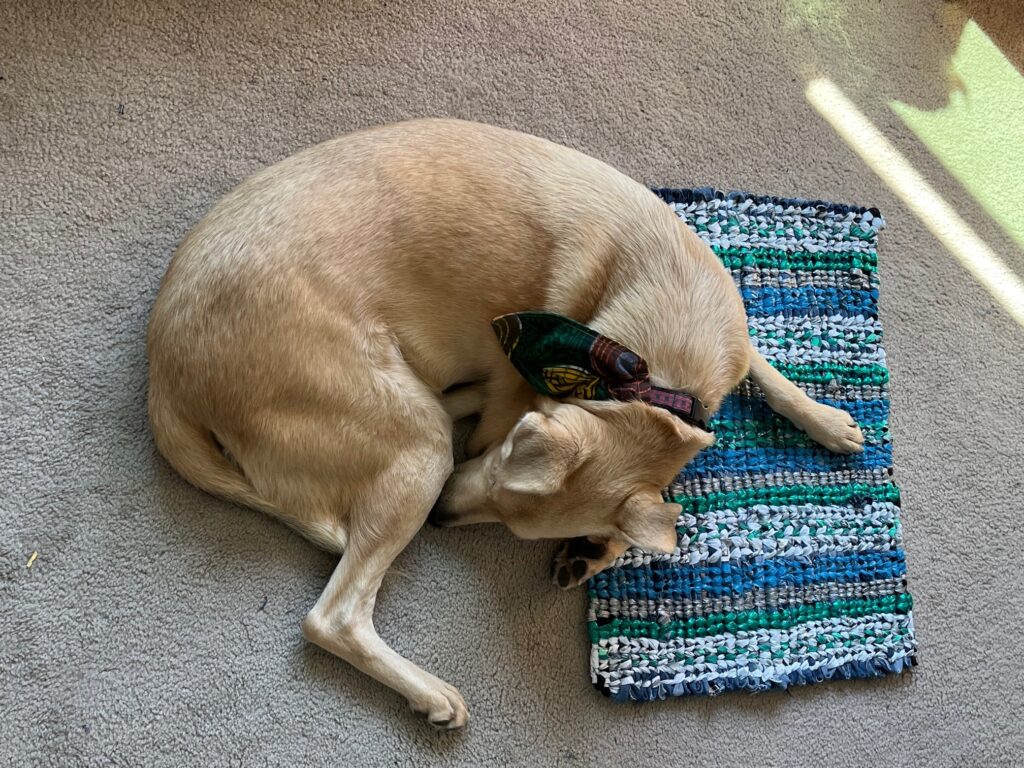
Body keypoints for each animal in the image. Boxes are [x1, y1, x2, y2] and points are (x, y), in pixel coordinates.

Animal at [146, 118, 864, 729]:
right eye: (495, 474)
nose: (439, 518)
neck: (644, 369)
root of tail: (164, 377)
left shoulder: (725, 350)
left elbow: (763, 372)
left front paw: (827, 420)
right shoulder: (502, 419)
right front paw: (601, 544)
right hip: (419, 445)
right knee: (334, 618)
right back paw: (432, 694)